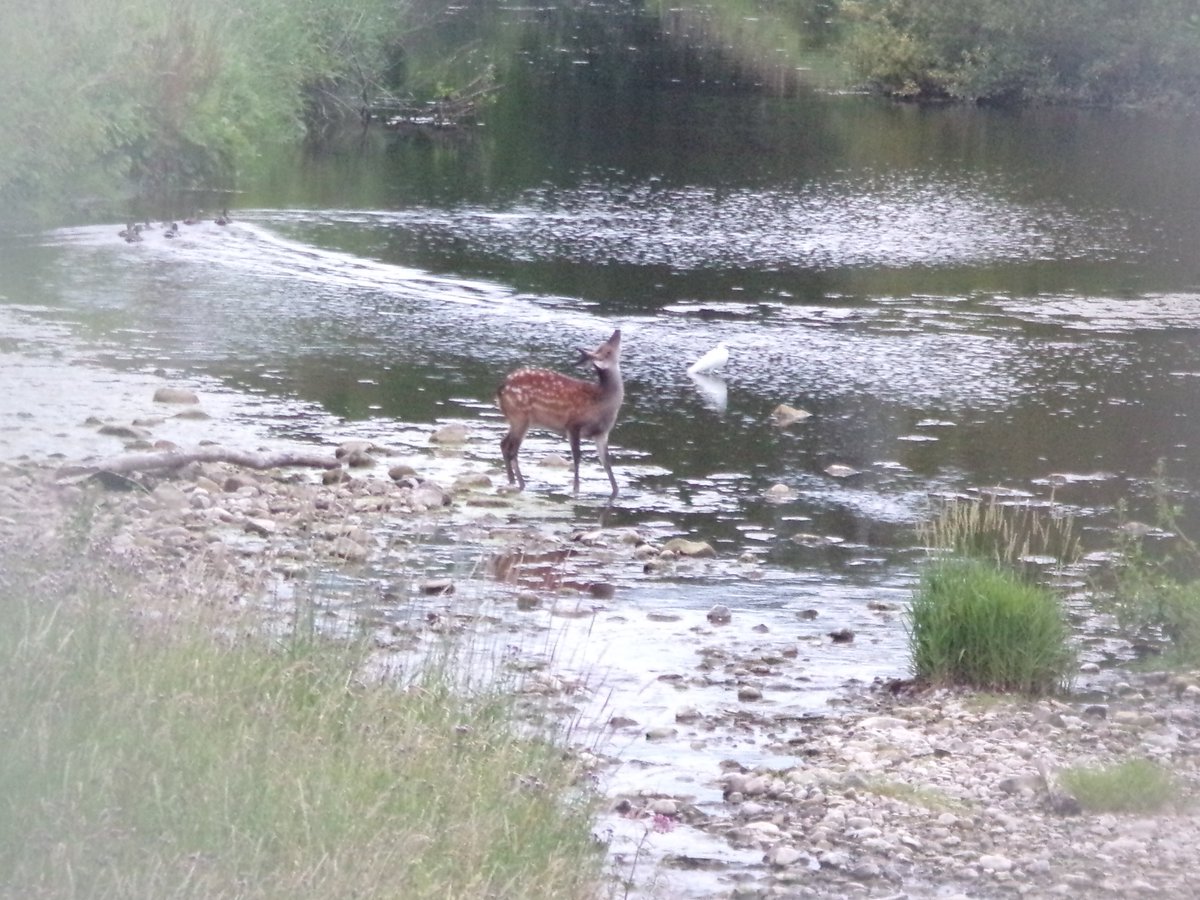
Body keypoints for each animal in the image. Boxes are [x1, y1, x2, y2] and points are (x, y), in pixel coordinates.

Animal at [496, 328, 628, 501]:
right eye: (607, 350)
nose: (617, 331)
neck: (602, 403)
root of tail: (501, 387)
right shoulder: (573, 424)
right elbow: (577, 456)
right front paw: (576, 489)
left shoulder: (602, 433)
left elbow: (606, 461)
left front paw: (616, 490)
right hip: (520, 416)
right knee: (512, 449)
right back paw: (521, 483)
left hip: (516, 419)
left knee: (504, 444)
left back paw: (512, 481)